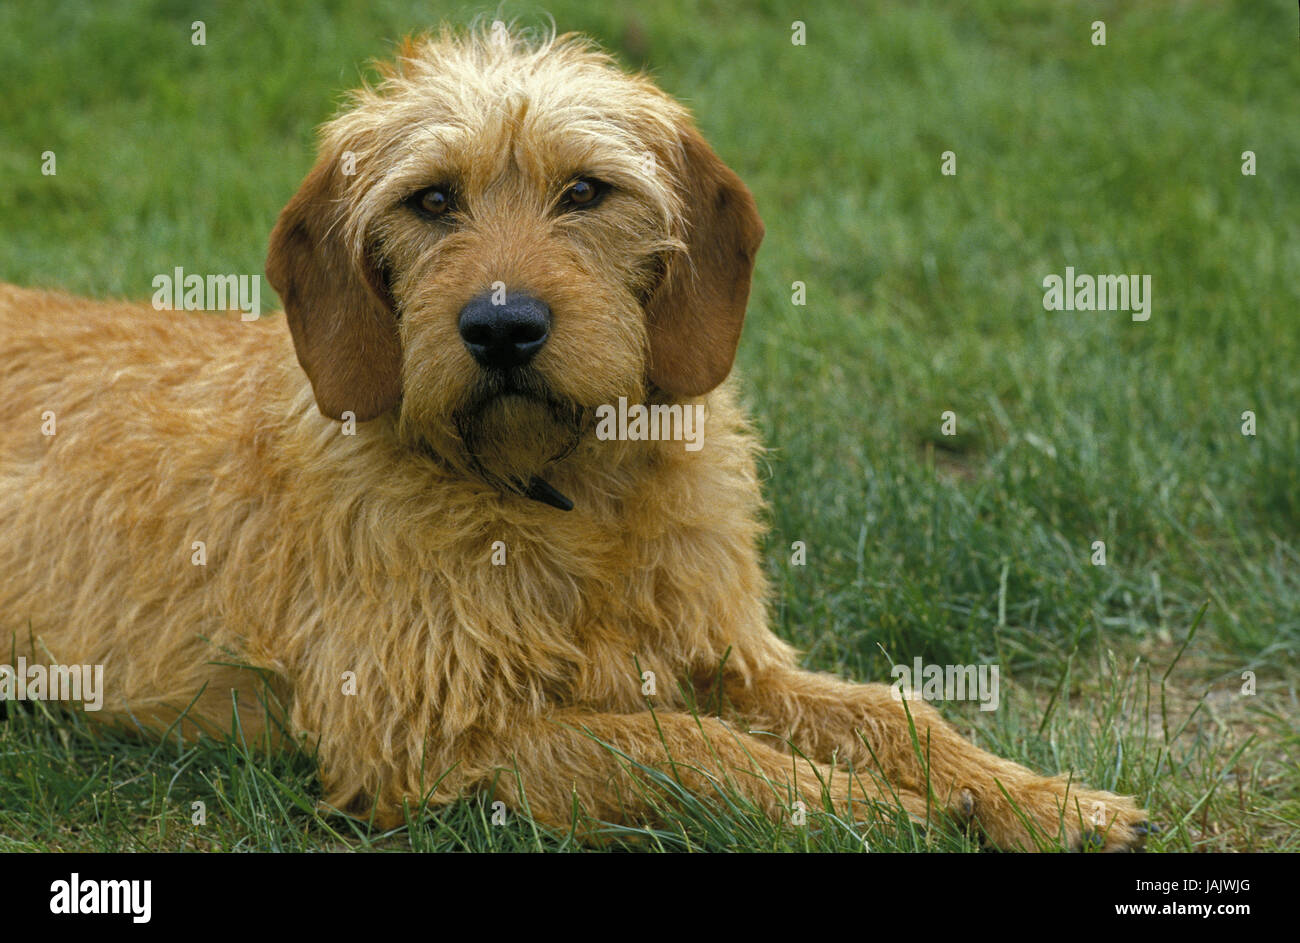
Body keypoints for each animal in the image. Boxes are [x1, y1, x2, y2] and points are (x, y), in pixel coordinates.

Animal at [0, 25, 1149, 848]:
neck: (558, 489)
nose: (502, 327)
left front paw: (1037, 798)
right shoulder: (425, 735)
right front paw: (872, 811)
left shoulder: (731, 655)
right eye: (431, 201)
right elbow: (684, 746)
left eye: (586, 191)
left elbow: (891, 710)